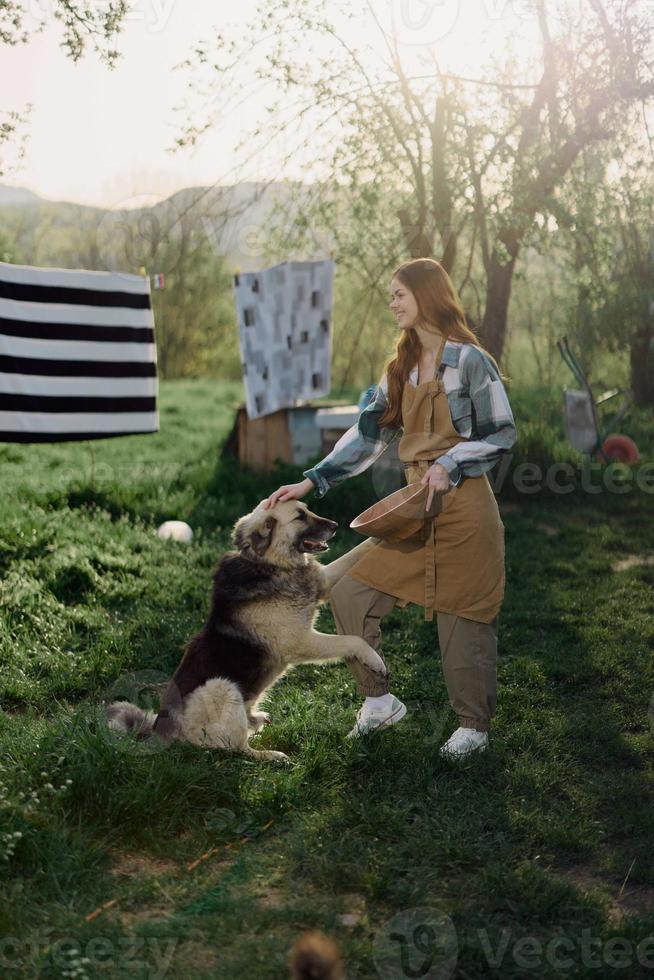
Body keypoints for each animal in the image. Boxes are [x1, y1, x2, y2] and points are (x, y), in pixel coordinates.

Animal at [105, 502, 386, 760]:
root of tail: (160, 731)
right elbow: (352, 640)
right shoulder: (300, 641)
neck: (269, 563)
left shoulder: (324, 581)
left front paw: (385, 528)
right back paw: (272, 756)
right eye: (300, 516)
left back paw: (256, 719)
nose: (336, 525)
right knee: (238, 748)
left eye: (307, 509)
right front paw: (375, 661)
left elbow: (358, 550)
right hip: (223, 686)